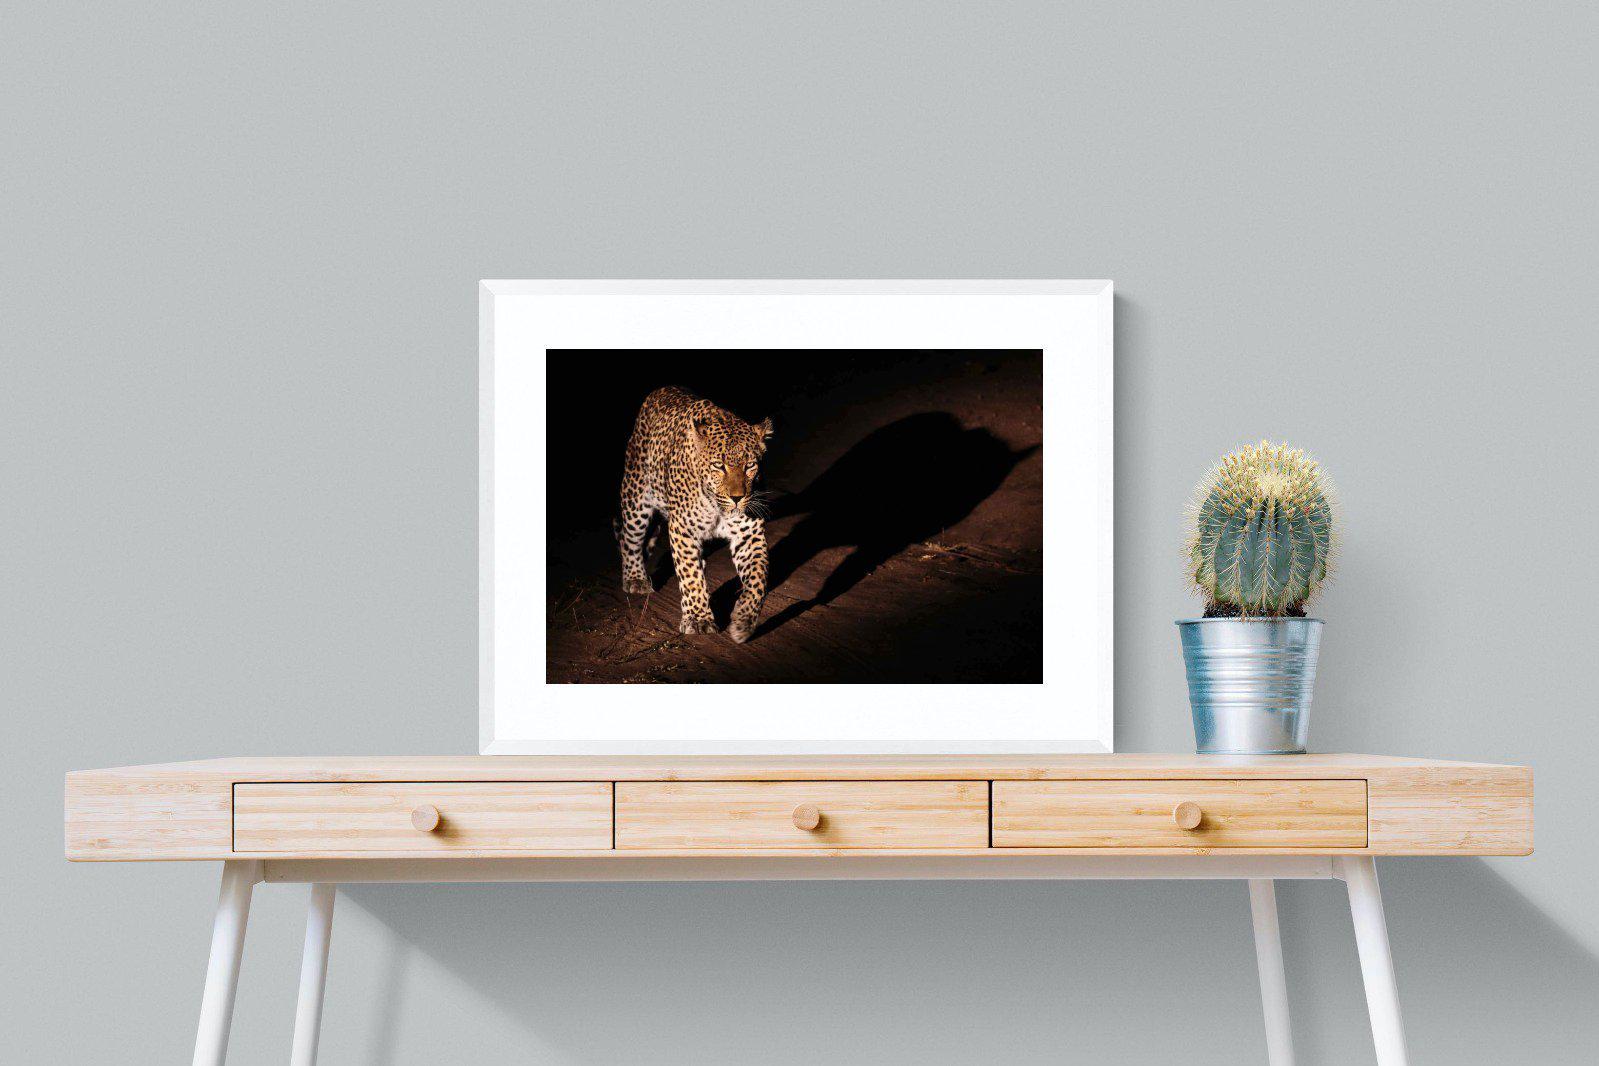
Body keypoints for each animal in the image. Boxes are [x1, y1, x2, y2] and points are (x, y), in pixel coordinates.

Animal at [616, 386, 774, 643]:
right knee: (629, 540)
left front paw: (743, 620)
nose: (737, 498)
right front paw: (699, 619)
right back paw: (635, 579)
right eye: (719, 466)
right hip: (635, 498)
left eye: (750, 465)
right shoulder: (683, 530)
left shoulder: (749, 534)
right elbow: (690, 576)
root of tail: (661, 390)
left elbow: (758, 579)